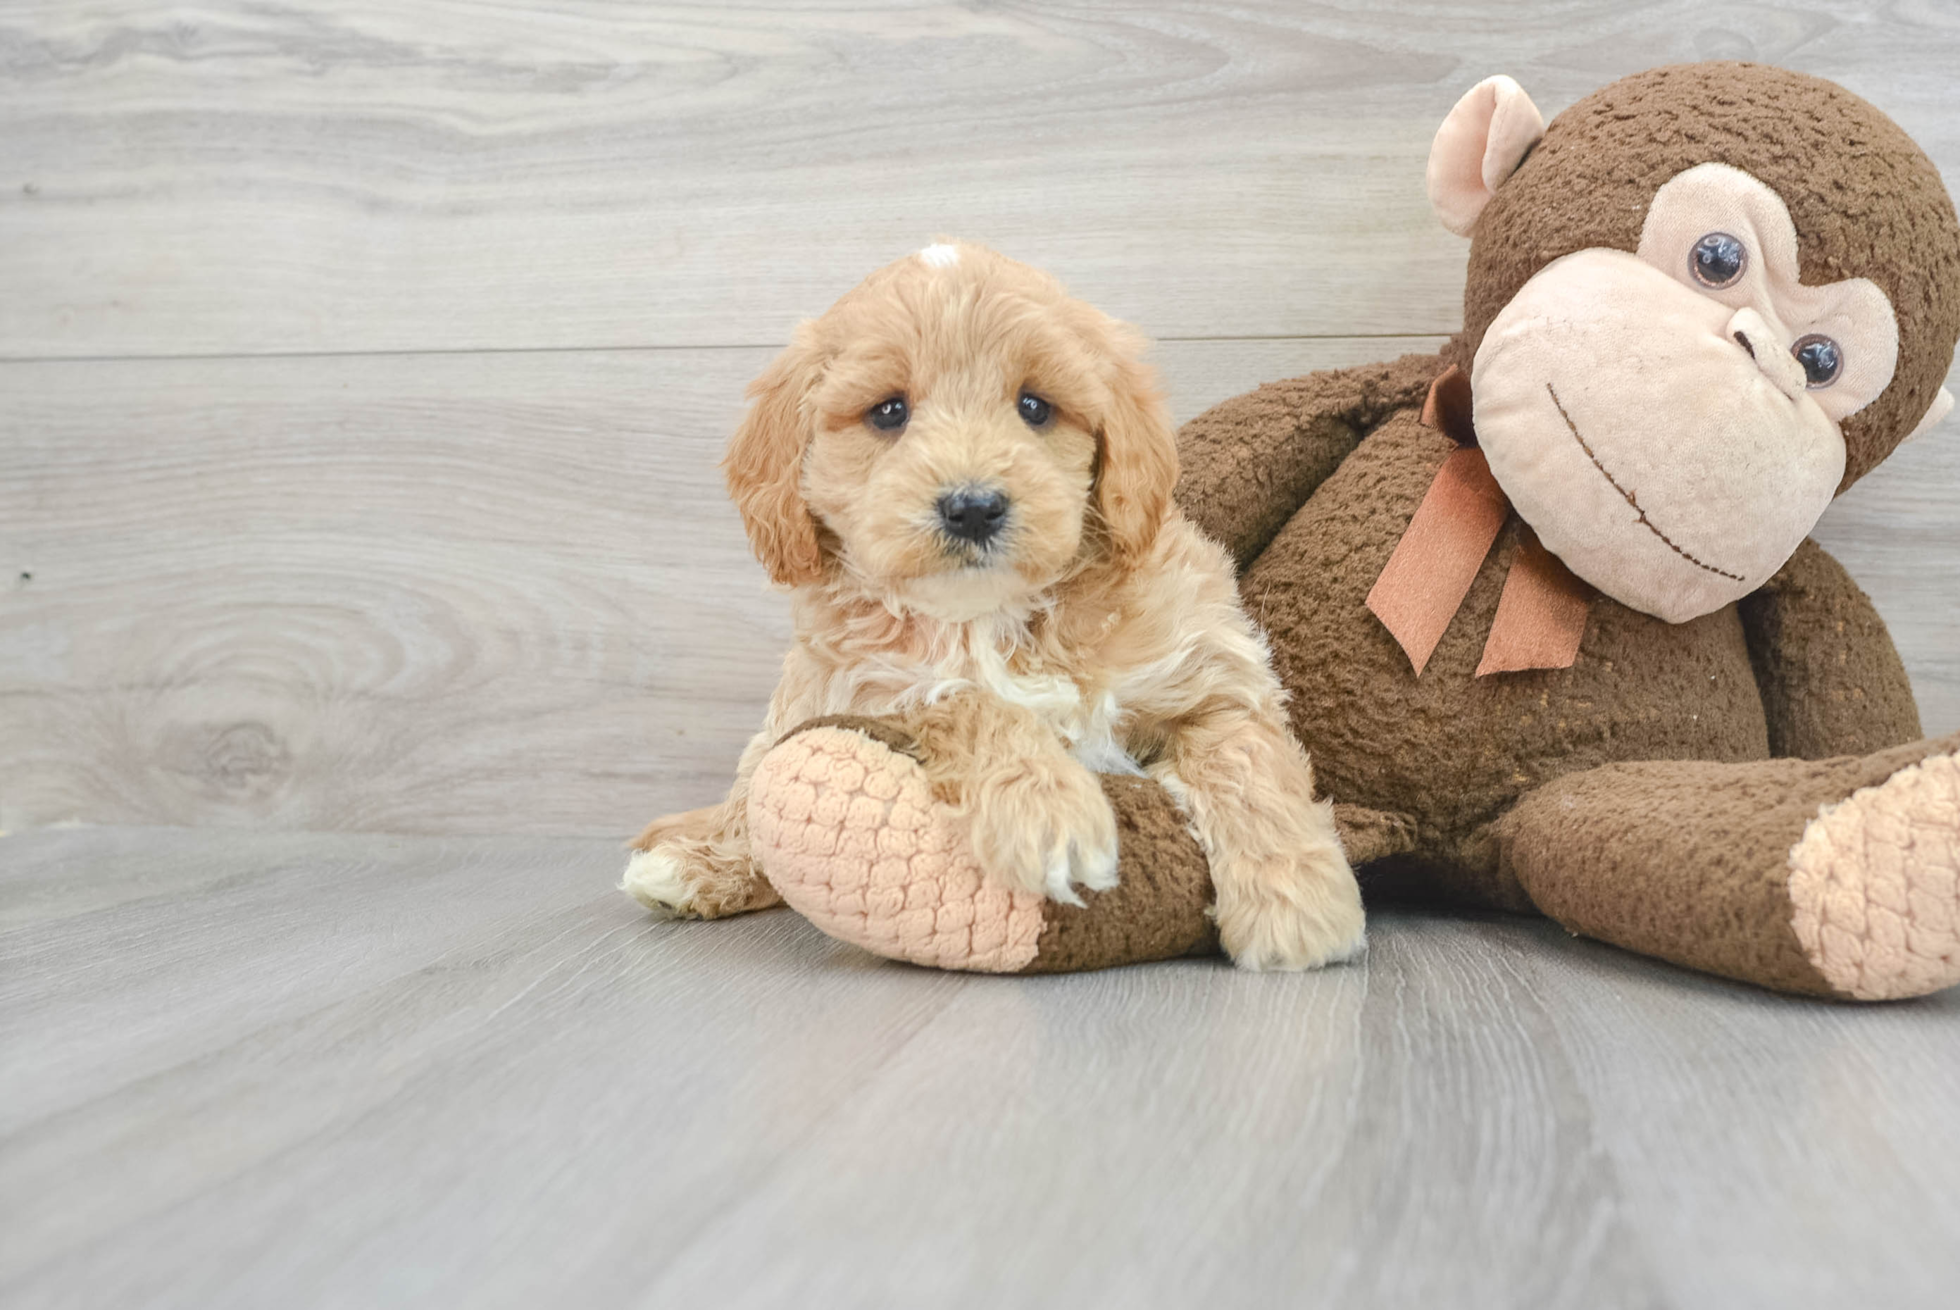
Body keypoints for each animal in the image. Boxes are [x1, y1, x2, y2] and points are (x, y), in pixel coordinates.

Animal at [627, 240, 1364, 968]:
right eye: (889, 412)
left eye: (1034, 407)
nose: (974, 506)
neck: (994, 615)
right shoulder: (867, 686)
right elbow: (966, 700)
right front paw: (1048, 810)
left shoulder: (1208, 672)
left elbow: (1247, 758)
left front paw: (1299, 900)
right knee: (749, 795)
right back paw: (689, 864)